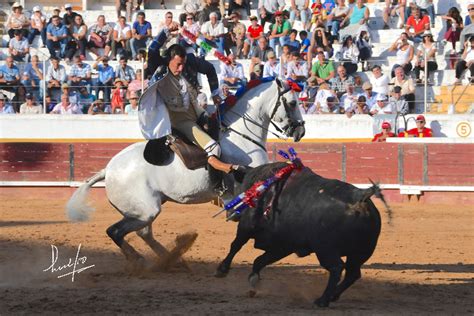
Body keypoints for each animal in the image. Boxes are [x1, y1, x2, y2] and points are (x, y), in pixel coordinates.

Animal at [65, 79, 304, 264]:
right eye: (292, 103)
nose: (301, 131)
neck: (241, 137)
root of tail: (108, 169)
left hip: (143, 210)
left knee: (141, 232)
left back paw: (171, 260)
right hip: (146, 210)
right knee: (116, 231)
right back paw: (144, 260)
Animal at [217, 162, 386, 308]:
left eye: (235, 188)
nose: (230, 212)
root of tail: (360, 196)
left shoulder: (247, 226)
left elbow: (236, 245)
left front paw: (222, 269)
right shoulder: (283, 245)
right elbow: (260, 260)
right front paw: (253, 280)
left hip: (326, 250)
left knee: (337, 268)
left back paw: (322, 300)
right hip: (361, 252)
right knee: (353, 273)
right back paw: (333, 296)